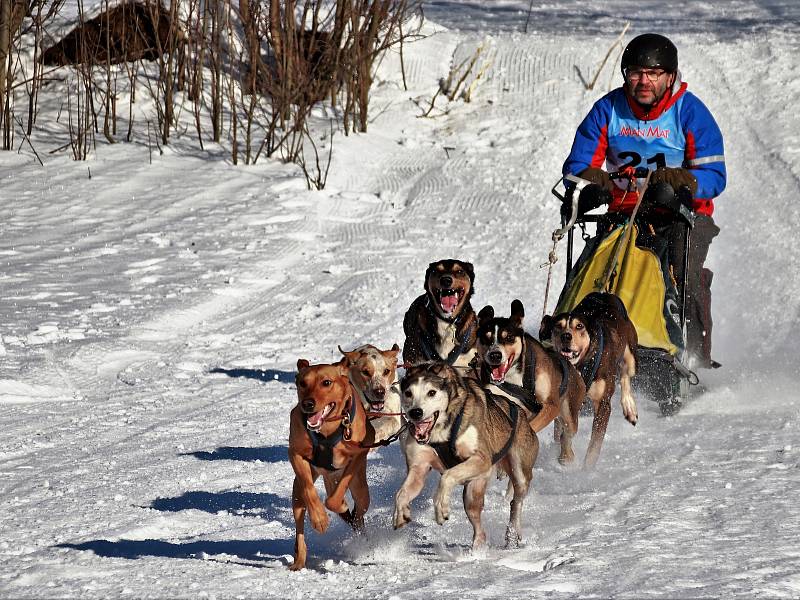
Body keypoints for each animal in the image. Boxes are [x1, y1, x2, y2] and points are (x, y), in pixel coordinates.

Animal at [288, 358, 376, 568]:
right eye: (302, 383)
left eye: (326, 382)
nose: (308, 403)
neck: (327, 430)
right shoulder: (295, 454)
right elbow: (309, 489)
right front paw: (319, 518)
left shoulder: (358, 455)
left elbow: (335, 497)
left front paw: (341, 505)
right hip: (296, 496)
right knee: (299, 526)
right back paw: (299, 560)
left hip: (361, 490)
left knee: (358, 516)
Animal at [394, 358, 536, 552]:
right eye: (408, 393)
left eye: (431, 392)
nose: (415, 412)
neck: (440, 433)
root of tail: (520, 412)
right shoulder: (418, 468)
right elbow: (401, 493)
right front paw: (401, 512)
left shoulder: (481, 459)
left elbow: (447, 476)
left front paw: (441, 506)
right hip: (473, 490)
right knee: (478, 522)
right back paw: (477, 547)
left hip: (515, 472)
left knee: (516, 502)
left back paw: (512, 533)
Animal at [472, 298, 584, 464]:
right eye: (487, 338)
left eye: (509, 337)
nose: (495, 355)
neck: (515, 377)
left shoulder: (551, 405)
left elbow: (532, 426)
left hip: (569, 412)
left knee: (567, 434)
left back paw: (566, 456)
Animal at [540, 290, 640, 468]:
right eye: (558, 326)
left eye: (579, 326)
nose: (566, 336)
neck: (579, 366)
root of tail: (605, 294)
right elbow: (565, 430)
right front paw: (565, 456)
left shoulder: (603, 404)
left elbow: (595, 443)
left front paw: (588, 468)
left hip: (631, 355)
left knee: (625, 375)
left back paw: (630, 407)